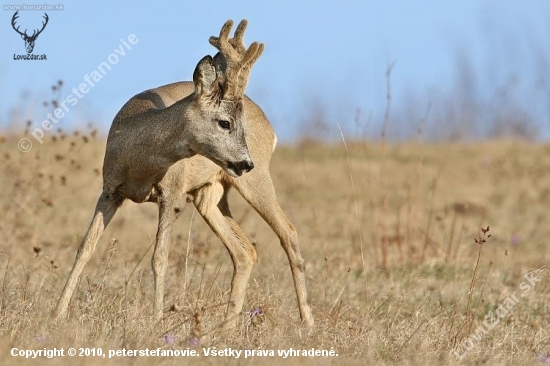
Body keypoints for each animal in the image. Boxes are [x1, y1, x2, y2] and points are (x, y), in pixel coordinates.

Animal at [55, 19, 316, 328]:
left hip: (256, 179)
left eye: (238, 124)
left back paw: (307, 322)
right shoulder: (109, 191)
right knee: (245, 252)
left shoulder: (171, 193)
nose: (246, 162)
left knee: (288, 231)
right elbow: (85, 248)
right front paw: (56, 313)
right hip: (209, 193)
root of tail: (271, 129)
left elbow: (159, 257)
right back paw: (225, 327)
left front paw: (156, 320)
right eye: (225, 122)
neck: (139, 159)